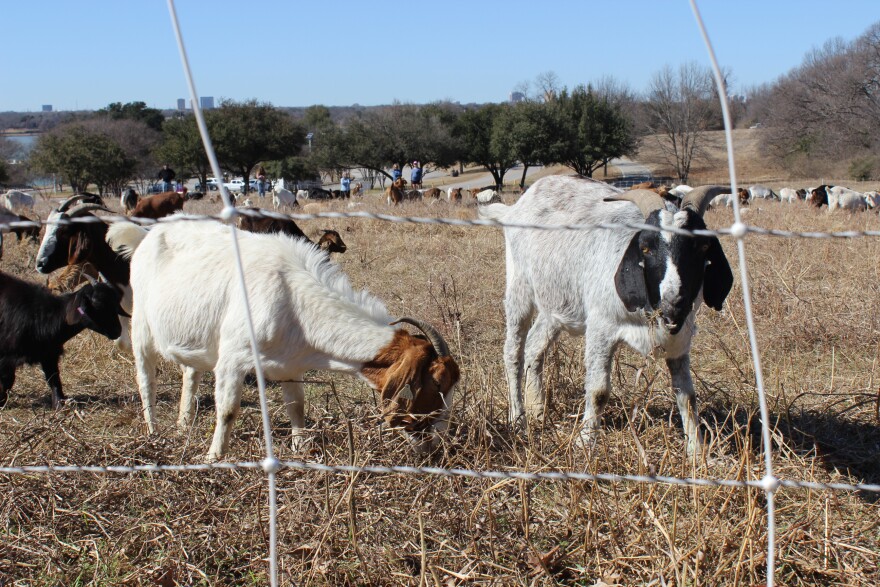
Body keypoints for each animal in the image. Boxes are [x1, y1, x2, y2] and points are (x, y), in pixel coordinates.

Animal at [0, 272, 125, 408]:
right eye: (97, 303)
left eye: (116, 303)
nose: (117, 331)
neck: (41, 316)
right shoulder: (7, 358)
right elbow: (7, 381)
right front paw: (2, 402)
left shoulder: (49, 355)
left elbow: (54, 380)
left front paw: (59, 404)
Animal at [107, 219, 459, 461]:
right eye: (435, 384)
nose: (434, 444)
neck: (291, 296)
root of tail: (146, 234)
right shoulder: (232, 357)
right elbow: (227, 410)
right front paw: (214, 457)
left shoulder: (291, 365)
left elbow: (297, 406)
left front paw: (301, 447)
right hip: (142, 326)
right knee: (146, 379)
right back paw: (154, 432)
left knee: (190, 374)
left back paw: (183, 425)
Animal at [478, 176, 733, 455]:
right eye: (645, 248)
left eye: (703, 245)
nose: (673, 300)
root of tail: (515, 208)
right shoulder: (601, 327)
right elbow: (599, 391)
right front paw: (585, 442)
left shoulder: (680, 341)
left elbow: (687, 396)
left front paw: (697, 451)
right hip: (519, 288)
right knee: (513, 353)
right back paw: (518, 418)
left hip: (556, 303)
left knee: (535, 346)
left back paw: (536, 410)